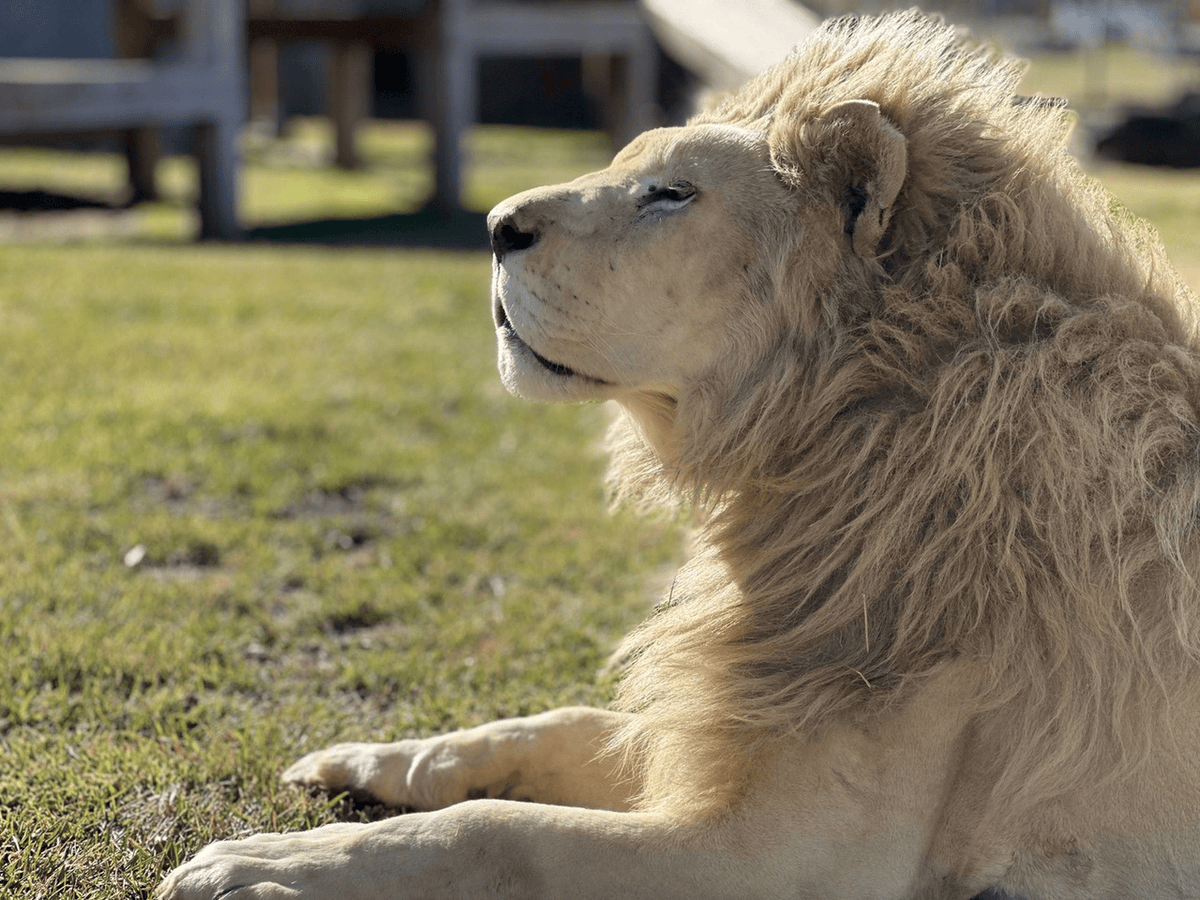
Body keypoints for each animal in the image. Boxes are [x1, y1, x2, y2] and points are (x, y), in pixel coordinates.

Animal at [159, 10, 1200, 899]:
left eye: (670, 193)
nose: (493, 227)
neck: (858, 424)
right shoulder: (731, 719)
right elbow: (557, 727)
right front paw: (374, 760)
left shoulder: (794, 860)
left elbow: (503, 836)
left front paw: (270, 861)